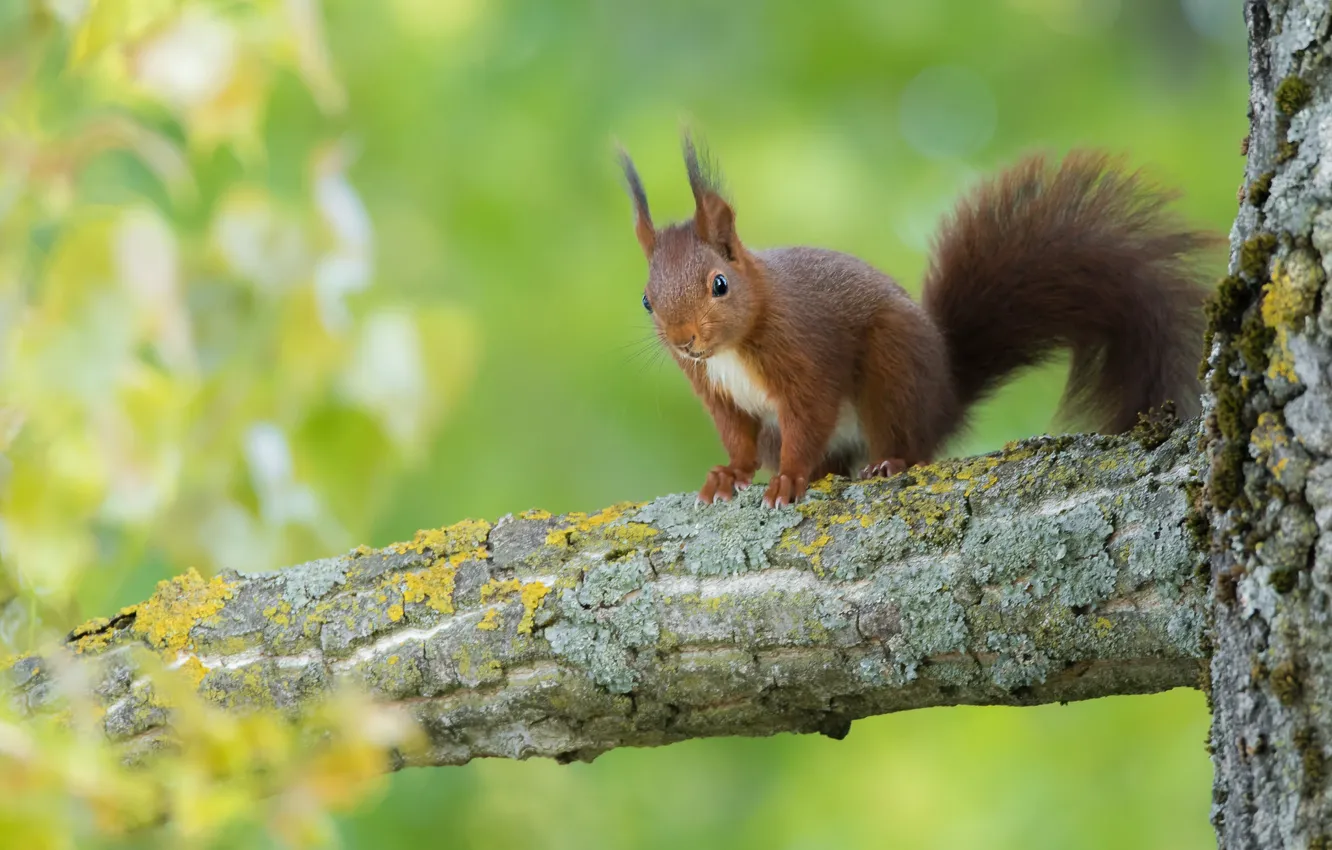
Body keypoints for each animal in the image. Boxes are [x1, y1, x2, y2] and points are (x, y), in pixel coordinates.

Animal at [617, 134, 1216, 508]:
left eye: (719, 284)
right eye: (646, 300)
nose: (684, 341)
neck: (733, 347)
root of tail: (944, 398)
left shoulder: (806, 354)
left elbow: (809, 416)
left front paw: (787, 477)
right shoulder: (718, 393)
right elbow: (737, 438)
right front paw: (730, 474)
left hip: (893, 364)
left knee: (908, 443)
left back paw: (890, 462)